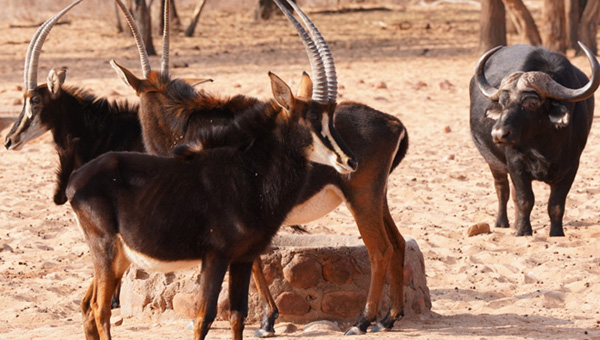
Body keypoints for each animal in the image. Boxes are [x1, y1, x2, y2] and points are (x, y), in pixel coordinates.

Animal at [115, 0, 410, 334]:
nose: (348, 159)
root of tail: (393, 123)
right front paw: (268, 318)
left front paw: (266, 320)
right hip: (377, 197)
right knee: (399, 243)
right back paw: (389, 317)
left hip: (361, 198)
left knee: (380, 250)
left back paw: (362, 321)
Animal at [472, 43, 596, 236]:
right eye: (502, 103)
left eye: (531, 103)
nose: (498, 134)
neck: (543, 146)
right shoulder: (515, 164)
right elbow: (525, 200)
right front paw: (523, 231)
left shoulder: (571, 167)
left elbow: (556, 205)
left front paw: (556, 233)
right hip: (493, 162)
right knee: (502, 189)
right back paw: (502, 222)